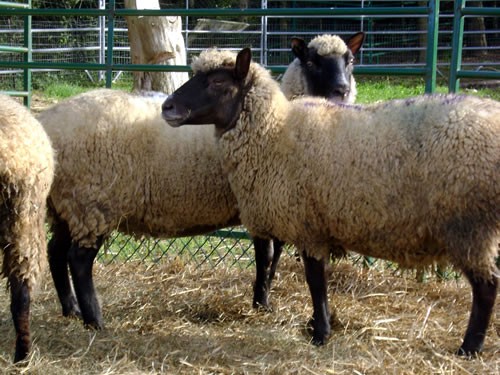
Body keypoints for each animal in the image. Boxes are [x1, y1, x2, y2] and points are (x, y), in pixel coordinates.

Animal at [161, 48, 500, 356]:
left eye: (218, 81)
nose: (167, 106)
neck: (273, 132)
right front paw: (314, 323)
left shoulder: (308, 224)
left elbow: (315, 281)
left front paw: (320, 332)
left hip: (469, 226)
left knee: (487, 286)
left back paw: (469, 348)